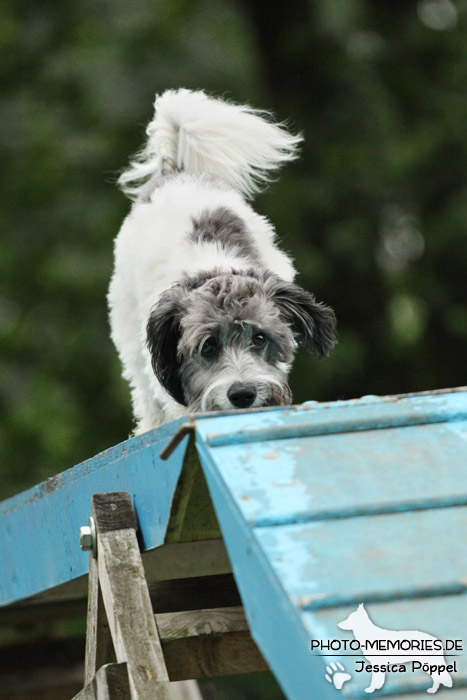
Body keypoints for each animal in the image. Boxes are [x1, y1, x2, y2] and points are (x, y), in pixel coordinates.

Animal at [109, 89, 336, 432]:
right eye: (208, 346)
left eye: (259, 338)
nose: (242, 394)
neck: (212, 269)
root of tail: (175, 171)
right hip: (129, 336)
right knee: (144, 394)